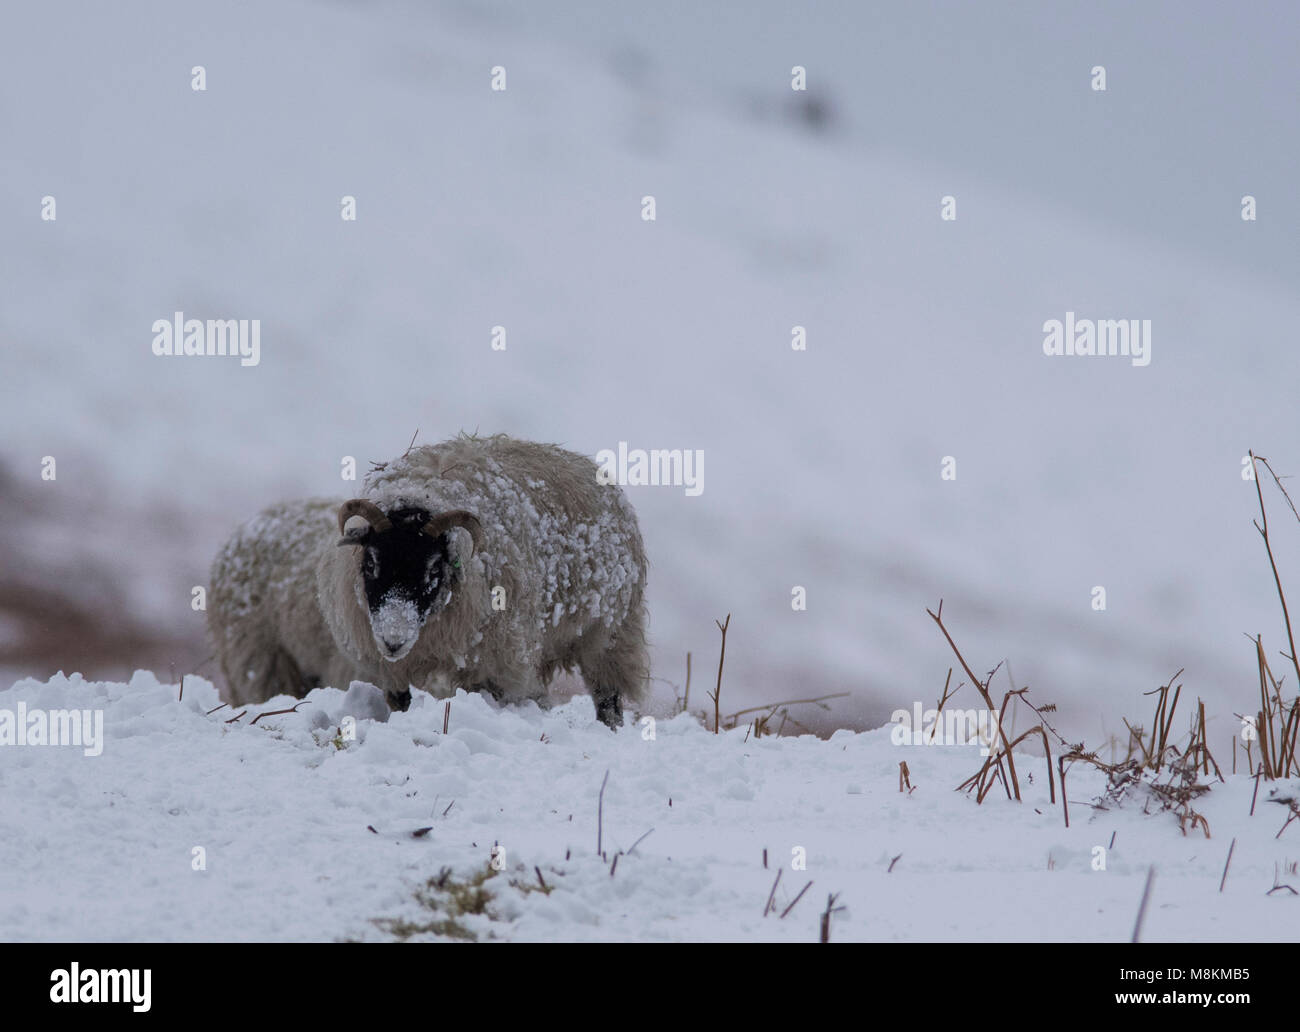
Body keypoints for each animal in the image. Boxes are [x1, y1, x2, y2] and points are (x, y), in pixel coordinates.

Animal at [207, 434, 649, 727]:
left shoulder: (494, 664)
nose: (392, 640)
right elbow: (401, 703)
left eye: (435, 570)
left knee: (608, 699)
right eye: (371, 565)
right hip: (265, 662)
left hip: (609, 635)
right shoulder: (388, 671)